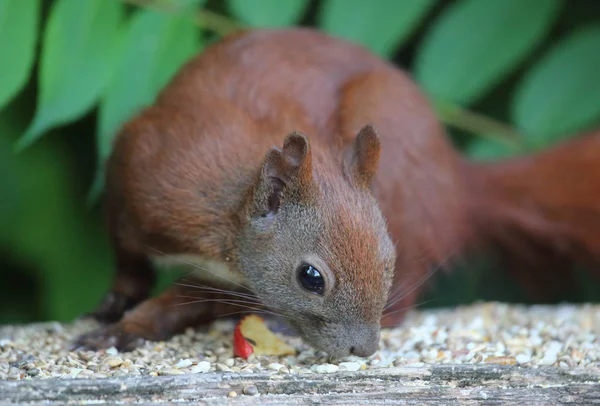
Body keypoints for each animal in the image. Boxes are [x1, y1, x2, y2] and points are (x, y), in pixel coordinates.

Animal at [74, 27, 600, 358]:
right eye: (311, 278)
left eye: (387, 259)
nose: (362, 351)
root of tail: (456, 179)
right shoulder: (137, 171)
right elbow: (128, 258)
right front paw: (117, 306)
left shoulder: (238, 281)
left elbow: (187, 300)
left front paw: (134, 326)